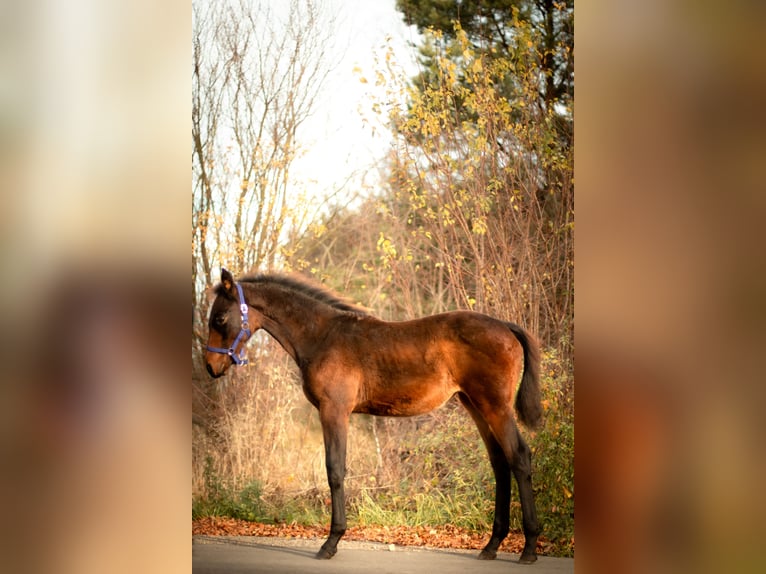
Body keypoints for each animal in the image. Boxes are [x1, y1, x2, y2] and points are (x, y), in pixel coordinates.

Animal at [201, 268, 544, 564]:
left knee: (519, 456)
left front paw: (331, 542)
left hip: (495, 406)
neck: (322, 336)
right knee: (500, 464)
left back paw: (529, 547)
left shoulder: (334, 410)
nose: (211, 367)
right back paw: (492, 546)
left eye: (219, 318)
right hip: (475, 405)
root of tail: (506, 326)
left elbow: (335, 470)